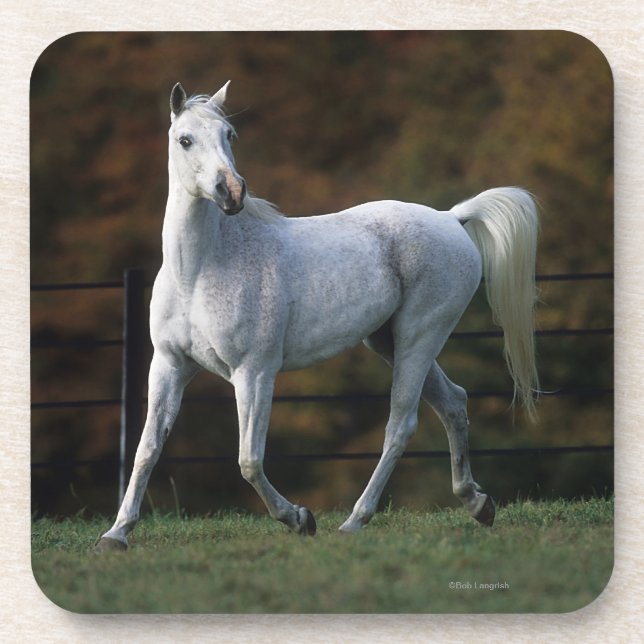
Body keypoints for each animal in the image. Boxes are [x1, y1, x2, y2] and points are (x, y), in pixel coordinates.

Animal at [97, 81, 539, 550]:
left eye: (229, 134)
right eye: (185, 140)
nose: (230, 192)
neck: (199, 271)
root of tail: (451, 218)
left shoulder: (254, 373)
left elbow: (249, 460)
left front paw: (299, 518)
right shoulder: (169, 365)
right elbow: (146, 449)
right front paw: (116, 533)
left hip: (420, 337)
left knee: (401, 424)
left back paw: (355, 520)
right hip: (389, 341)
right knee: (453, 402)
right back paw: (478, 504)